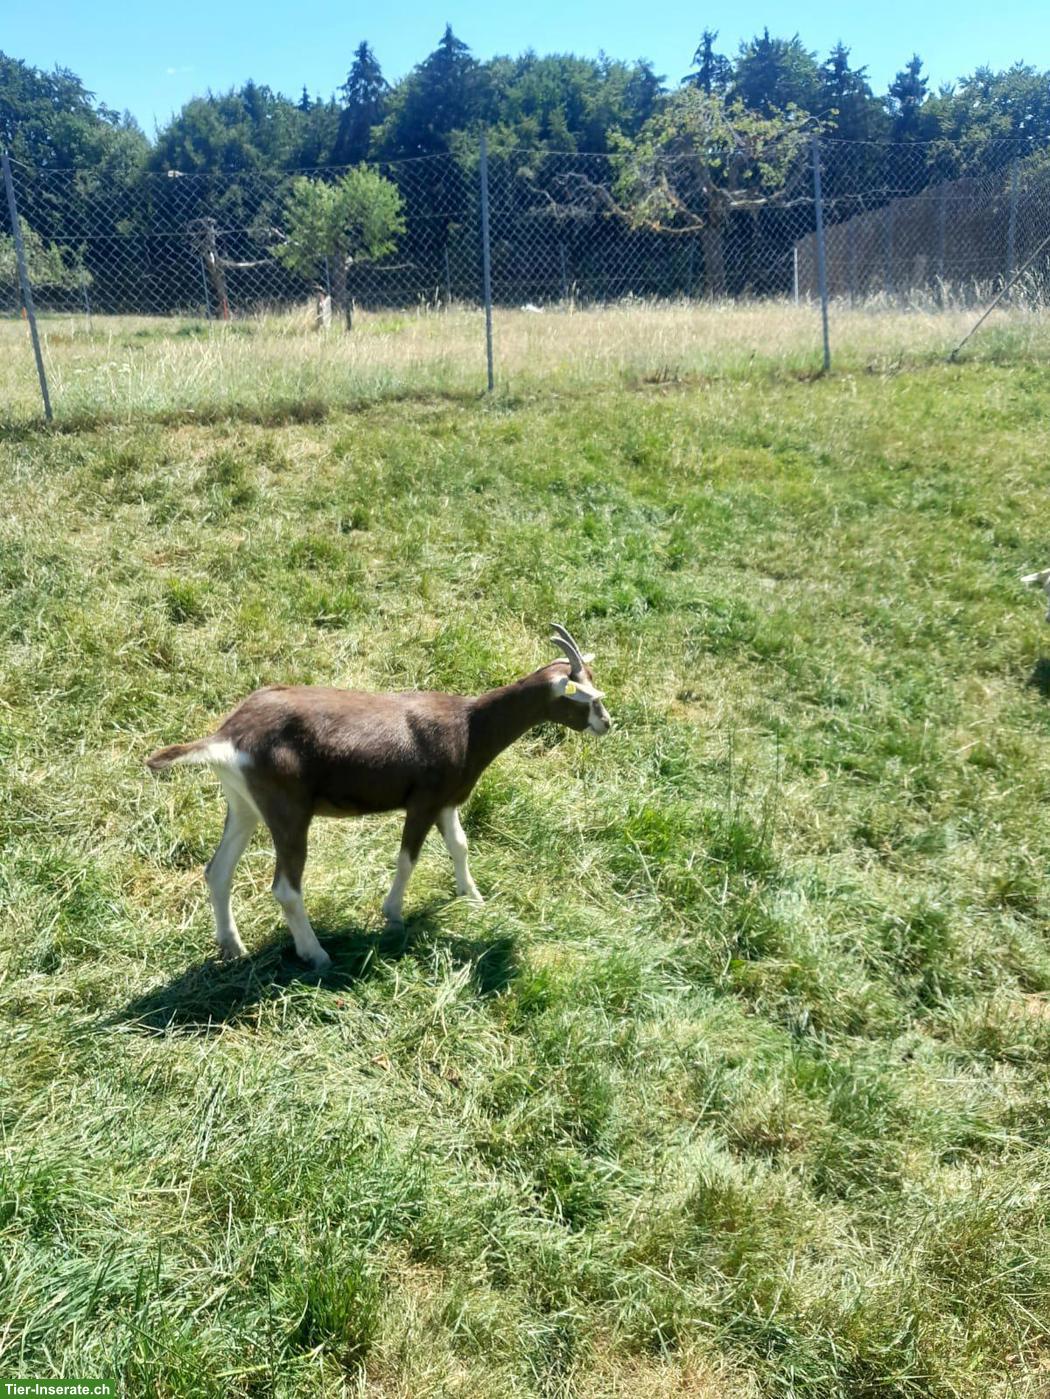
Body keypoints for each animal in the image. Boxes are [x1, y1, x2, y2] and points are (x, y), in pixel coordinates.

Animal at [147, 624, 611, 970]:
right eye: (588, 698)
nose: (608, 723)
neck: (470, 724)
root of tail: (228, 736)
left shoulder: (446, 801)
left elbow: (460, 845)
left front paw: (472, 897)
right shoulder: (423, 802)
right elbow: (408, 859)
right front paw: (393, 916)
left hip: (244, 805)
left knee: (218, 871)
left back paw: (232, 947)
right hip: (289, 812)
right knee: (285, 888)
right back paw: (316, 955)